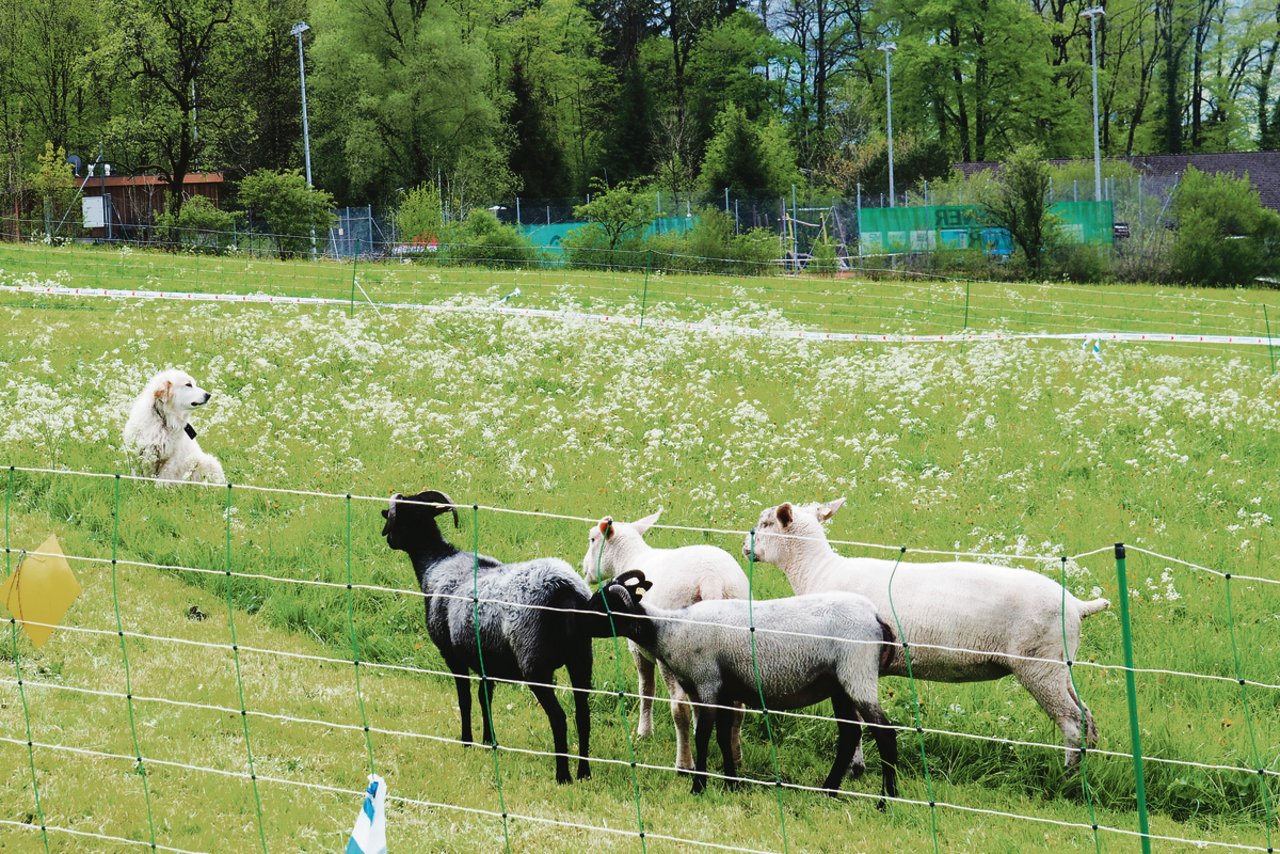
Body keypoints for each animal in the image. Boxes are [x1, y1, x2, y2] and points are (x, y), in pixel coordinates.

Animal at [381, 491, 596, 783]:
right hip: (581, 658)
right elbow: (485, 698)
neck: (435, 563)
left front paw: (467, 742)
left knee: (559, 718)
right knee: (582, 715)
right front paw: (488, 742)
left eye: (398, 516)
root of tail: (564, 591)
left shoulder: (452, 655)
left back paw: (563, 775)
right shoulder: (487, 661)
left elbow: (465, 699)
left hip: (534, 662)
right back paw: (584, 772)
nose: (388, 539)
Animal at [581, 512, 747, 773]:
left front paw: (644, 733)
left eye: (592, 539)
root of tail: (710, 578)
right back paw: (735, 757)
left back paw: (684, 764)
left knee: (679, 706)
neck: (629, 558)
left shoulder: (639, 650)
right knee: (738, 706)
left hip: (670, 654)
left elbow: (646, 690)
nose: (584, 569)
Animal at [583, 571, 901, 804]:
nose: (577, 620)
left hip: (857, 672)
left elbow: (702, 736)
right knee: (850, 734)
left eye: (601, 605)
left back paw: (887, 799)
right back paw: (828, 791)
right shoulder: (724, 691)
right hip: (839, 684)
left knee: (884, 733)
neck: (669, 629)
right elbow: (723, 737)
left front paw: (699, 786)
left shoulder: (707, 684)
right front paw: (731, 784)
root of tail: (876, 618)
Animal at [747, 496, 1111, 773]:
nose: (744, 545)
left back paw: (1067, 776)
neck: (816, 572)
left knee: (1071, 720)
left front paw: (854, 767)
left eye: (765, 524)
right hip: (1060, 663)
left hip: (1039, 664)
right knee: (1087, 717)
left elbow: (853, 721)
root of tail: (1077, 605)